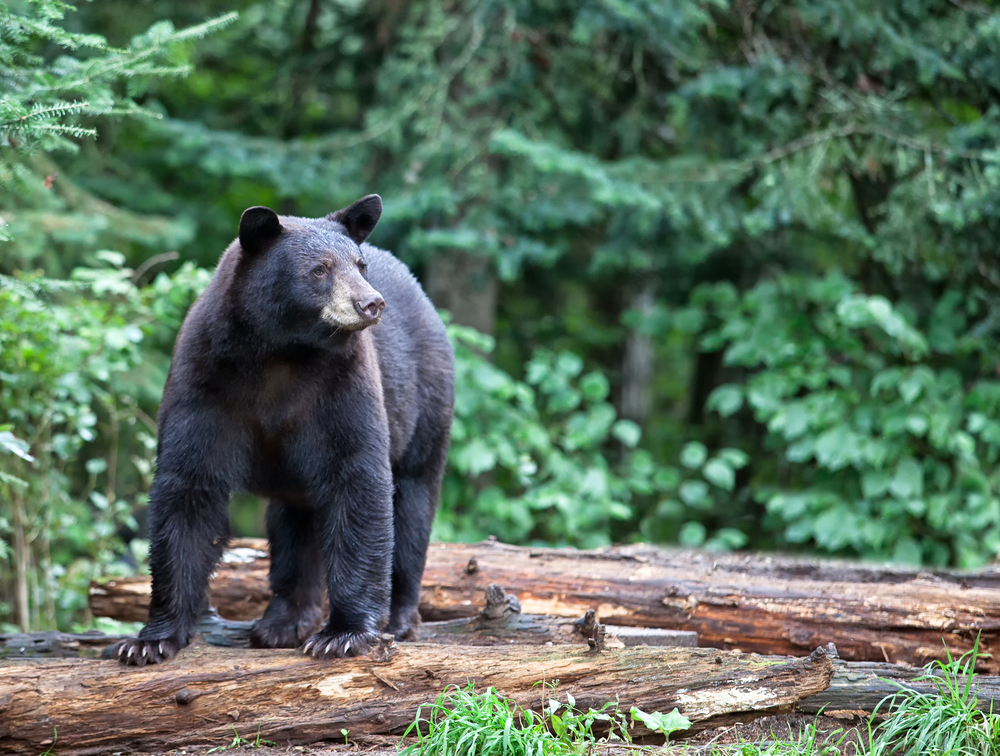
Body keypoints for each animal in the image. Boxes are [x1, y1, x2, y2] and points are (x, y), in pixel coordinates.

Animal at [114, 194, 454, 665]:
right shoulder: (205, 382)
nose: (371, 303)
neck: (281, 352)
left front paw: (344, 634)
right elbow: (188, 488)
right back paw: (284, 621)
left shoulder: (342, 386)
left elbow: (358, 479)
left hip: (425, 403)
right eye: (320, 269)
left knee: (413, 502)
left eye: (359, 264)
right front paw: (150, 639)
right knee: (295, 523)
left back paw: (400, 618)